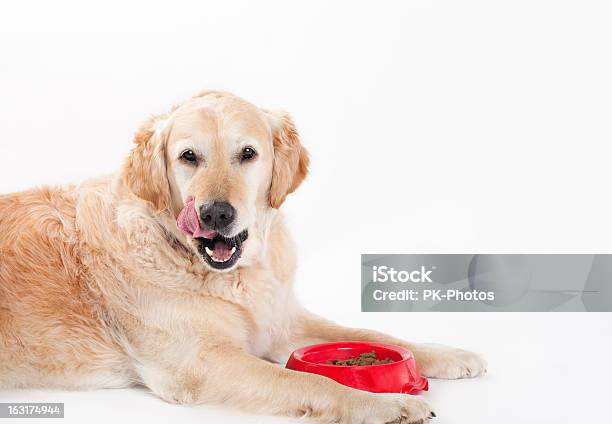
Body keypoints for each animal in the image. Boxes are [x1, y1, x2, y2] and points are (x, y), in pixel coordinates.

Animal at [1, 91, 488, 422]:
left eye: (247, 153)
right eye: (188, 157)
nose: (216, 212)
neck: (228, 275)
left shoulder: (281, 321)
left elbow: (372, 332)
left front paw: (448, 354)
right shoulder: (200, 363)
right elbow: (304, 379)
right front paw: (385, 403)